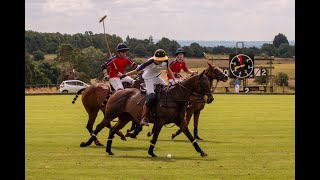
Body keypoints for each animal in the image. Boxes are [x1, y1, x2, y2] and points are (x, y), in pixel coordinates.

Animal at [80, 71, 212, 157]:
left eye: (209, 83)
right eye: (203, 84)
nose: (211, 98)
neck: (175, 97)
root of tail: (115, 92)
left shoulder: (180, 121)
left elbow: (189, 136)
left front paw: (202, 152)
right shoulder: (160, 121)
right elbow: (155, 136)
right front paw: (151, 152)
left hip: (125, 118)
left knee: (112, 130)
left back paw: (109, 149)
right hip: (108, 114)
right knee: (98, 126)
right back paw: (88, 143)